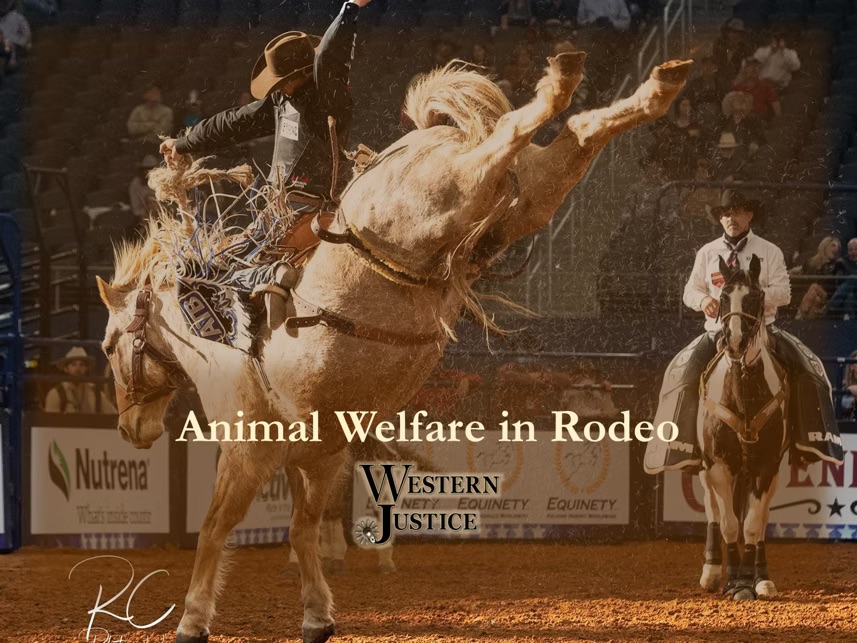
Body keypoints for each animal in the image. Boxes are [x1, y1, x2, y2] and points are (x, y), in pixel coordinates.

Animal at [96, 54, 691, 643]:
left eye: (106, 346)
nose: (129, 428)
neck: (216, 337)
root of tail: (426, 137)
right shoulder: (320, 455)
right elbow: (301, 529)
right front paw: (317, 615)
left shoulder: (247, 453)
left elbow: (214, 528)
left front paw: (192, 619)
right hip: (526, 198)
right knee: (576, 132)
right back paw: (648, 86)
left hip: (448, 196)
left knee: (506, 135)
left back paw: (558, 83)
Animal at [698, 255, 789, 601]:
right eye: (723, 297)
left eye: (756, 297)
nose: (735, 343)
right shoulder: (718, 465)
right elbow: (728, 525)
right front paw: (733, 581)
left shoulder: (767, 465)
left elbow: (751, 525)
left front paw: (749, 581)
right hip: (704, 469)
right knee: (713, 512)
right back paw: (712, 573)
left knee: (760, 520)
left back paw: (762, 578)